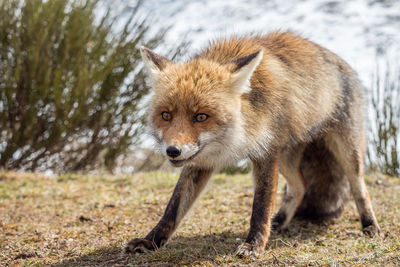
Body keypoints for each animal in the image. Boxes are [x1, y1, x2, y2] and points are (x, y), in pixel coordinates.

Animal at [125, 31, 382, 258]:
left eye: (201, 116)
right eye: (166, 115)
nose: (172, 151)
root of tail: (342, 61)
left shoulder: (266, 152)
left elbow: (261, 206)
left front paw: (254, 245)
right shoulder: (201, 161)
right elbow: (173, 207)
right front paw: (151, 241)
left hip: (345, 151)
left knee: (360, 187)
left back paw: (370, 225)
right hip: (286, 156)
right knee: (300, 186)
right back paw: (279, 222)